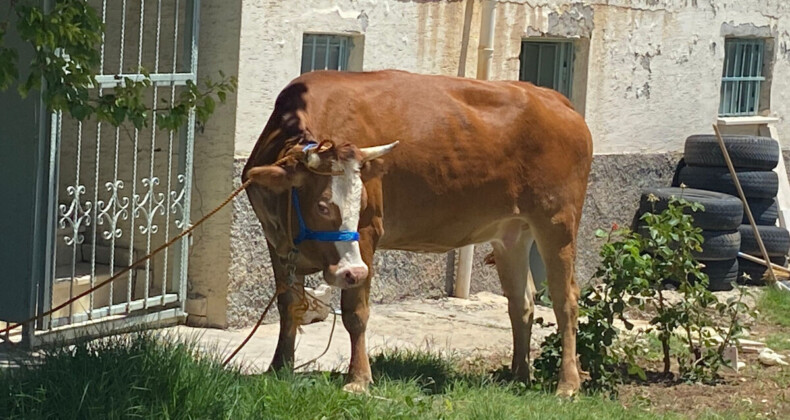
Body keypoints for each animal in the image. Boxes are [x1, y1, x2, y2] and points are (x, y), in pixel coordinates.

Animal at [243, 69, 592, 398]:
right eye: (322, 206)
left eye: (363, 204)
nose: (353, 271)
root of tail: (555, 99)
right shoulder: (276, 242)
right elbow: (288, 305)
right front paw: (279, 367)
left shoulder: (368, 233)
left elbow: (356, 313)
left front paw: (358, 379)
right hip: (512, 233)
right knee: (522, 302)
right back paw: (519, 376)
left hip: (557, 221)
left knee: (565, 300)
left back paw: (568, 384)